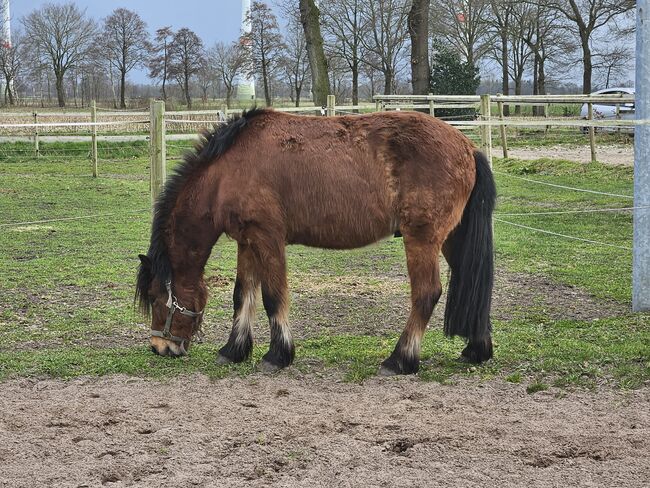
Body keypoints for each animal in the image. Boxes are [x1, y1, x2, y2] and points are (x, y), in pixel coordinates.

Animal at [134, 107, 494, 374]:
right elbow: (243, 296)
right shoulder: (246, 241)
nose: (159, 347)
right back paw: (476, 350)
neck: (227, 171)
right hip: (451, 240)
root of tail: (468, 147)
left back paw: (400, 360)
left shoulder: (267, 238)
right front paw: (234, 350)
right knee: (472, 284)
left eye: (155, 297)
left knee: (426, 294)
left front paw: (277, 355)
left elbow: (272, 297)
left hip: (421, 239)